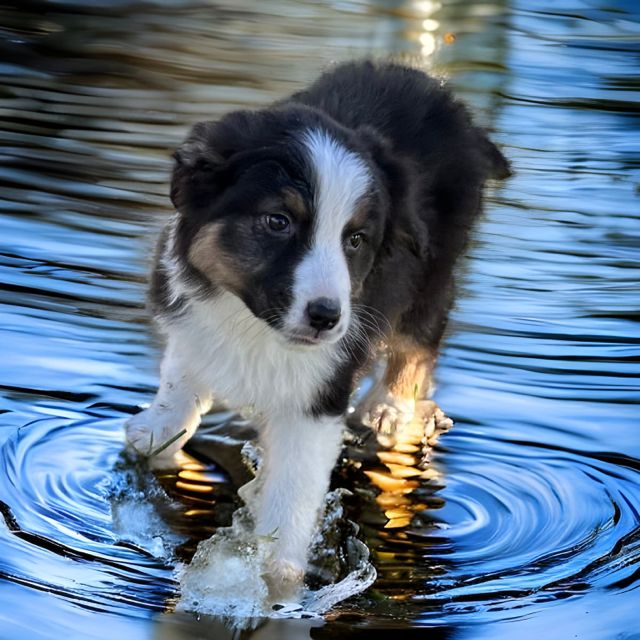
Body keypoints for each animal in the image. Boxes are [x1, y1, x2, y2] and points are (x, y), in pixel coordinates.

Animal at [126, 60, 510, 600]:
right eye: (278, 221)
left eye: (356, 239)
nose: (327, 317)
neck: (253, 325)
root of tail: (445, 99)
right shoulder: (188, 305)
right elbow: (185, 363)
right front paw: (160, 426)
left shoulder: (322, 391)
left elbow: (294, 489)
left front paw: (275, 580)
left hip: (434, 266)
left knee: (421, 336)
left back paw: (389, 405)